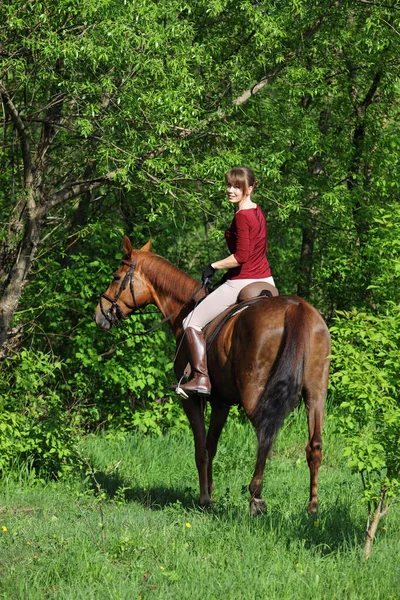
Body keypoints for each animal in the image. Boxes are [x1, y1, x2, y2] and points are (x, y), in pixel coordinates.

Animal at [94, 237, 332, 512]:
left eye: (116, 276)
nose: (99, 314)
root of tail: (296, 308)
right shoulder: (221, 403)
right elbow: (211, 445)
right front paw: (210, 491)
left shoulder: (191, 399)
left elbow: (201, 449)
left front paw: (205, 499)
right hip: (315, 395)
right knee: (314, 446)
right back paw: (312, 506)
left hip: (255, 396)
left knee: (265, 435)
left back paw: (256, 496)